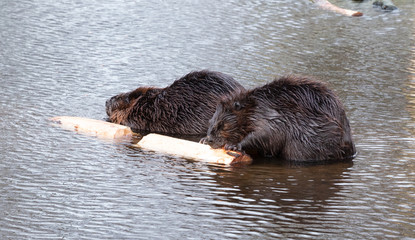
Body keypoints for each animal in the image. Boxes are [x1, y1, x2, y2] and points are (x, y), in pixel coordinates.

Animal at [202, 76, 358, 162]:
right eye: (210, 122)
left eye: (222, 125)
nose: (210, 140)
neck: (256, 107)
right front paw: (203, 139)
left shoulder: (271, 118)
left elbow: (265, 135)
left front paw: (234, 146)